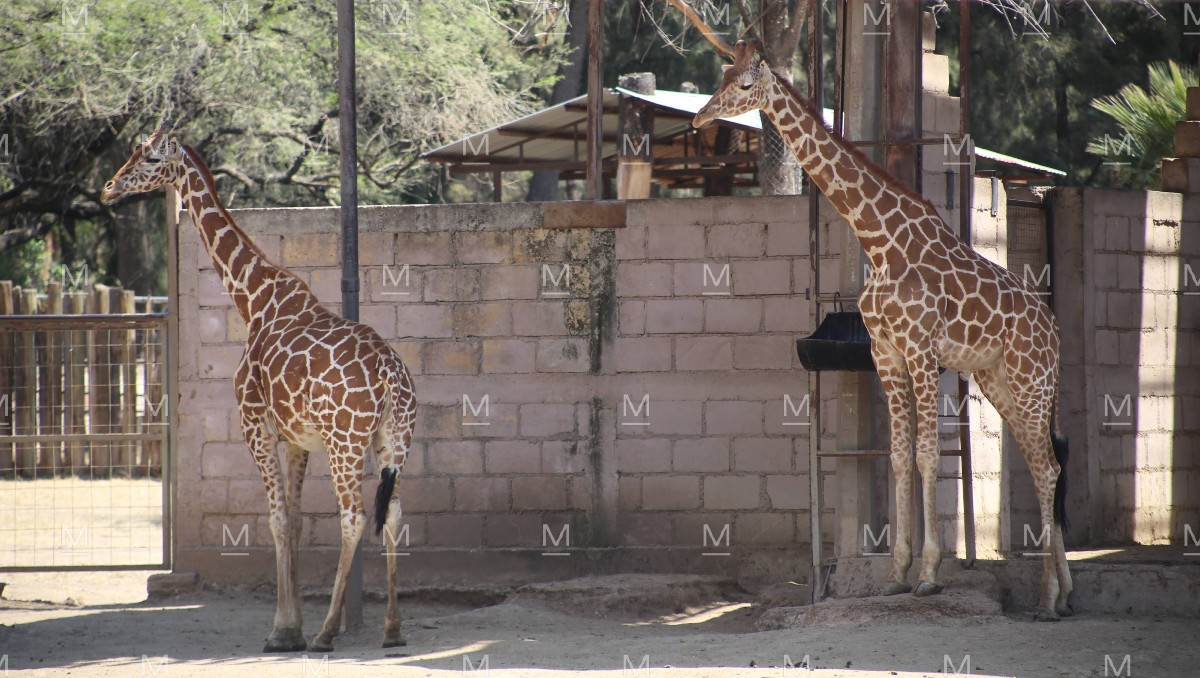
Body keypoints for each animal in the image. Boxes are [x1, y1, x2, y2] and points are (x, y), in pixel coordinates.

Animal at [101, 125, 417, 650]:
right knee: (391, 512)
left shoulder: (256, 425)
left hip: (345, 442)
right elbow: (295, 520)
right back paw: (392, 629)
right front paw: (292, 626)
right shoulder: (297, 438)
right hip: (393, 440)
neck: (253, 298)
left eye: (149, 158)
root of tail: (393, 378)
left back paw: (328, 632)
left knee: (353, 516)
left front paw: (283, 630)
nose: (109, 187)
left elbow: (276, 519)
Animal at [694, 41, 1073, 620]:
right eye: (722, 73)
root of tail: (1053, 332)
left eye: (743, 85)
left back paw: (1049, 600)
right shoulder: (885, 353)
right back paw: (1065, 593)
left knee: (1049, 468)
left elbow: (925, 455)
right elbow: (897, 456)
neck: (879, 241)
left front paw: (930, 576)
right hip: (999, 381)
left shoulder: (919, 350)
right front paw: (895, 574)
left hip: (1032, 381)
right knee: (1041, 463)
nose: (700, 117)